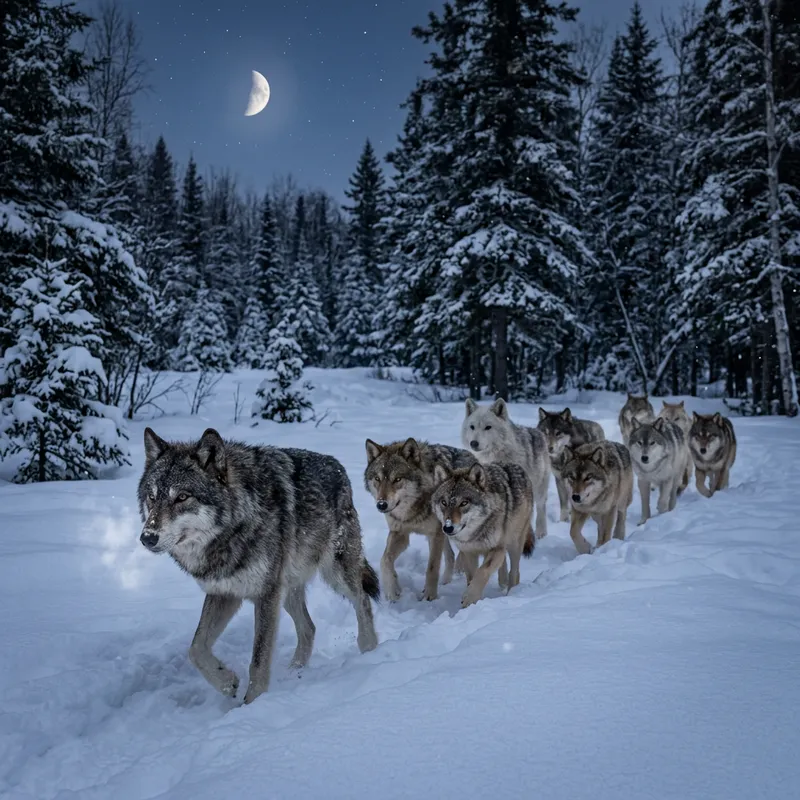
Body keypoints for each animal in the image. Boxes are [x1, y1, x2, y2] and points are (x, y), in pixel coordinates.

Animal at [137, 427, 379, 705]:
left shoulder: (265, 595)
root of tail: (338, 466)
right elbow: (195, 649)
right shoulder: (224, 593)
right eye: (151, 497)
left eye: (182, 497)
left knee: (362, 601)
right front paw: (227, 682)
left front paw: (251, 705)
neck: (235, 524)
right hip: (287, 591)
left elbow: (259, 661)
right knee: (309, 627)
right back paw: (294, 672)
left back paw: (369, 650)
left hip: (334, 575)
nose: (147, 537)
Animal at [364, 437, 476, 602]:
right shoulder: (400, 533)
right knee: (450, 555)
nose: (381, 505)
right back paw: (445, 581)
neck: (411, 512)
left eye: (397, 479)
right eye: (377, 479)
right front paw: (392, 590)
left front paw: (429, 596)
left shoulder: (435, 535)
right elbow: (385, 560)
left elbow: (432, 568)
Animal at [431, 461, 533, 608]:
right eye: (444, 502)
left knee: (515, 572)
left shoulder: (497, 549)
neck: (475, 534)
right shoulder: (468, 552)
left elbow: (482, 571)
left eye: (464, 503)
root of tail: (514, 464)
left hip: (515, 543)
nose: (448, 528)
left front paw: (470, 597)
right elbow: (471, 577)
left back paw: (511, 594)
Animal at [462, 397, 550, 540]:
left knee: (541, 507)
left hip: (539, 488)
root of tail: (537, 431)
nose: (473, 443)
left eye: (488, 427)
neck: (495, 455)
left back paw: (541, 532)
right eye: (472, 427)